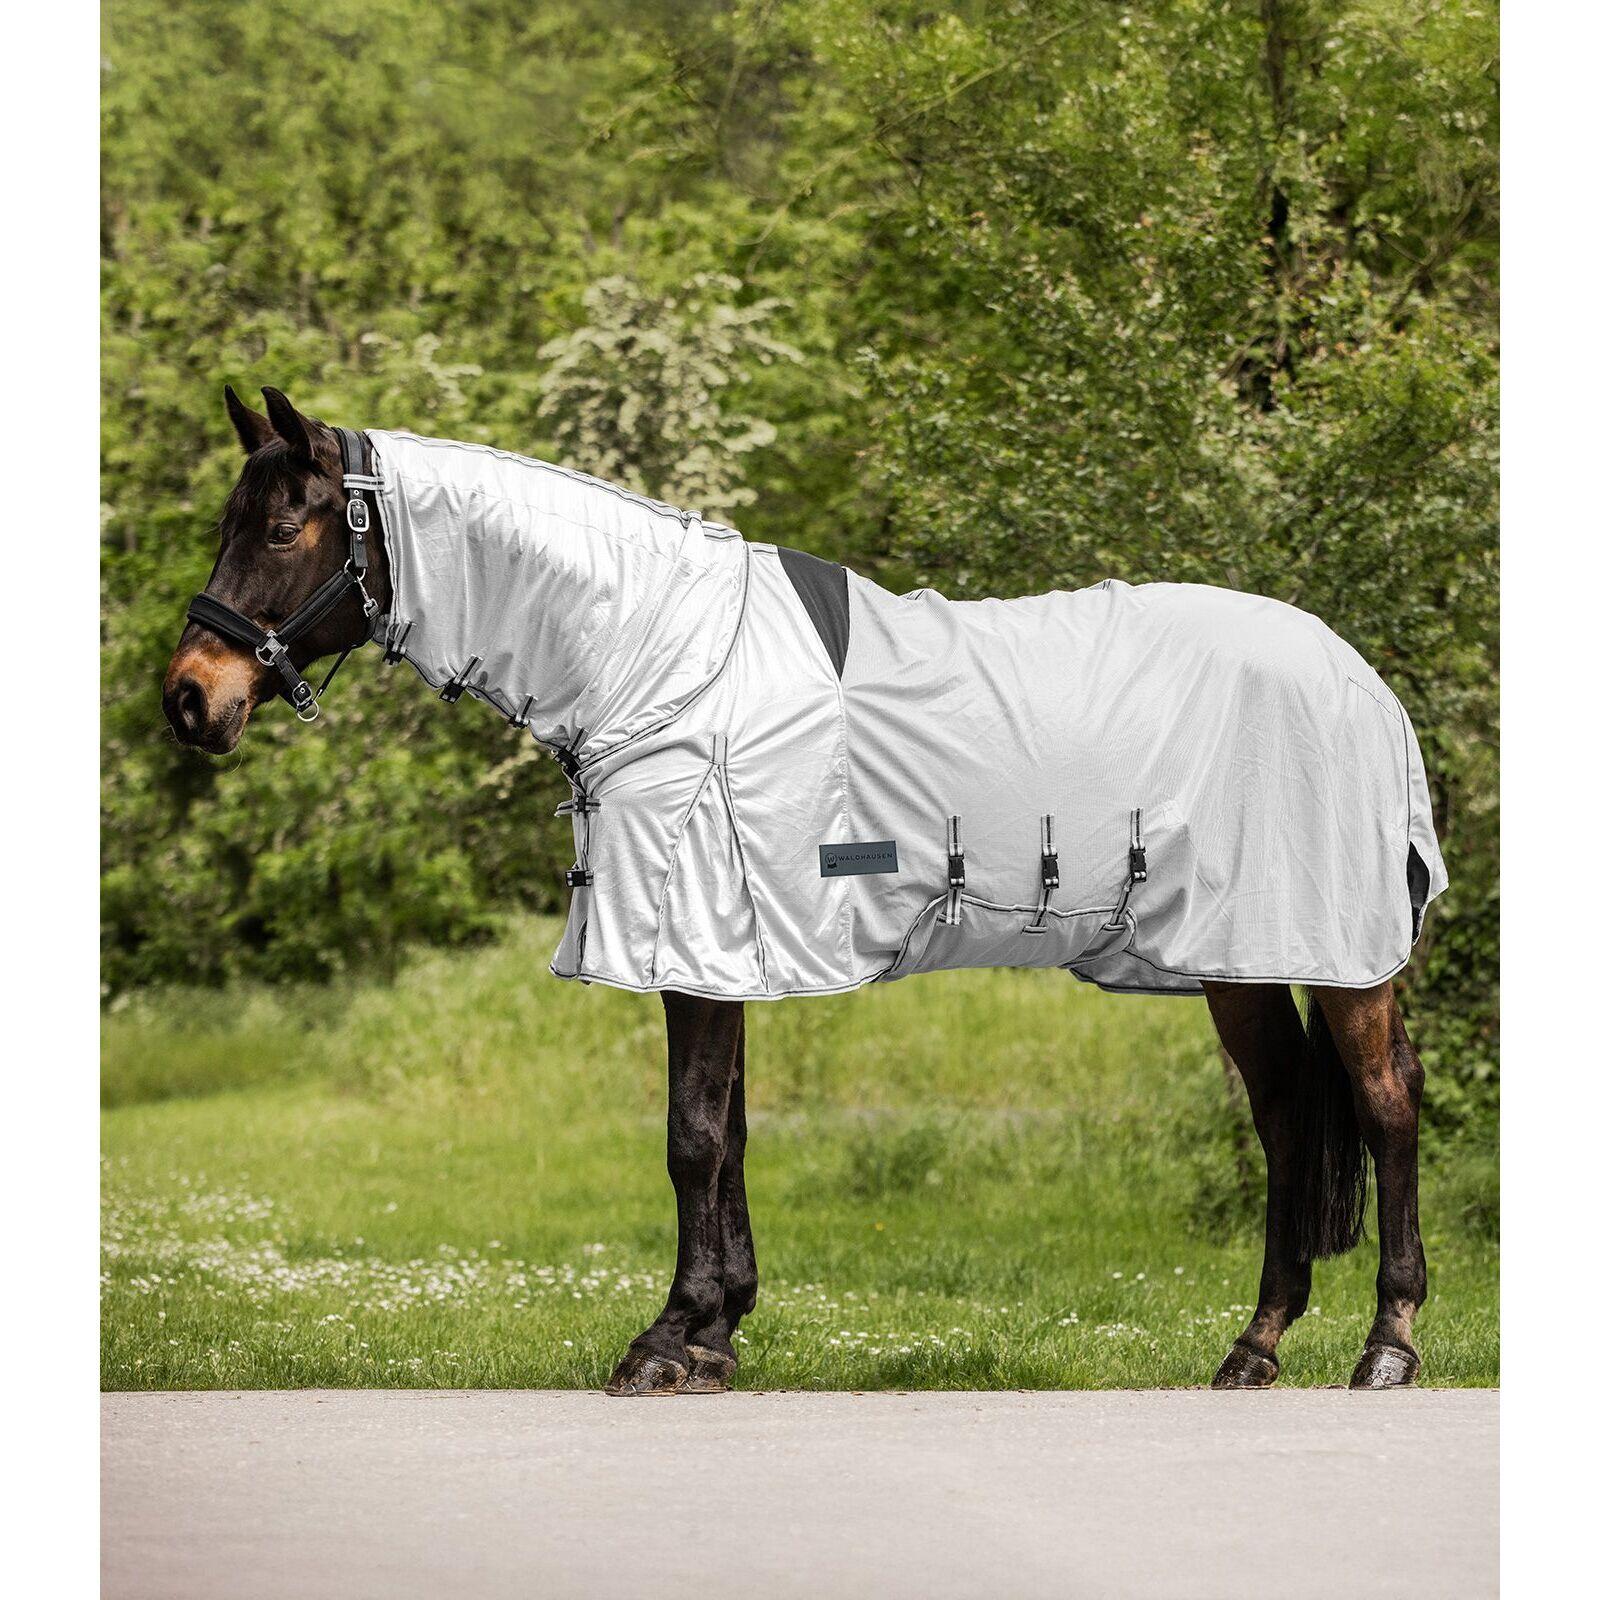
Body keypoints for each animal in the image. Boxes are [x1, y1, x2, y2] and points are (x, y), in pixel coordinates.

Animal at [163, 384, 1437, 1394]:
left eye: (282, 523)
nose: (189, 697)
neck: (662, 659)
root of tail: (1358, 676)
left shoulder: (693, 932)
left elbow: (689, 1137)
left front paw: (667, 1341)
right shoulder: (724, 945)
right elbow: (727, 1134)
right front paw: (715, 1330)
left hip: (1337, 954)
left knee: (1383, 1102)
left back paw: (1386, 1345)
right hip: (1240, 960)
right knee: (1287, 1118)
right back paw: (1255, 1346)